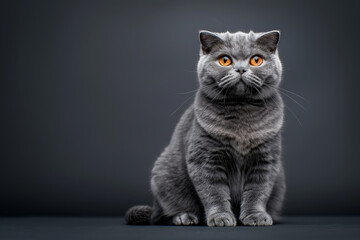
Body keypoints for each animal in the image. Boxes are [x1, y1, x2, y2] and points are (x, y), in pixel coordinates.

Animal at [125, 30, 286, 227]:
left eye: (256, 60)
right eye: (225, 60)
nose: (240, 69)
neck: (241, 112)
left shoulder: (265, 159)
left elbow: (258, 191)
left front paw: (256, 216)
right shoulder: (205, 158)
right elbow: (213, 192)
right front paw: (220, 217)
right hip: (164, 173)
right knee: (166, 212)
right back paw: (185, 217)